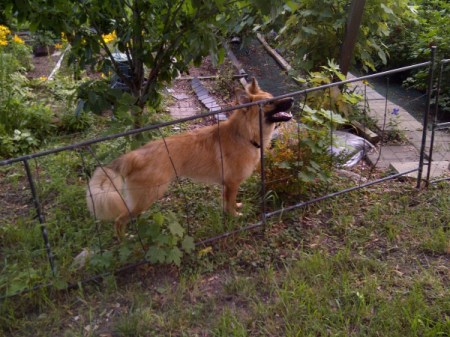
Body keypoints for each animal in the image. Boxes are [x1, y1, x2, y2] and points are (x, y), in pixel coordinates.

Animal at [86, 77, 294, 235]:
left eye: (272, 97)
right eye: (269, 103)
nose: (292, 99)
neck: (244, 135)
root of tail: (134, 155)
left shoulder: (226, 186)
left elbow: (227, 202)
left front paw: (233, 209)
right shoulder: (233, 183)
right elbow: (230, 205)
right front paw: (234, 216)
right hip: (147, 198)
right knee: (119, 220)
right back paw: (125, 240)